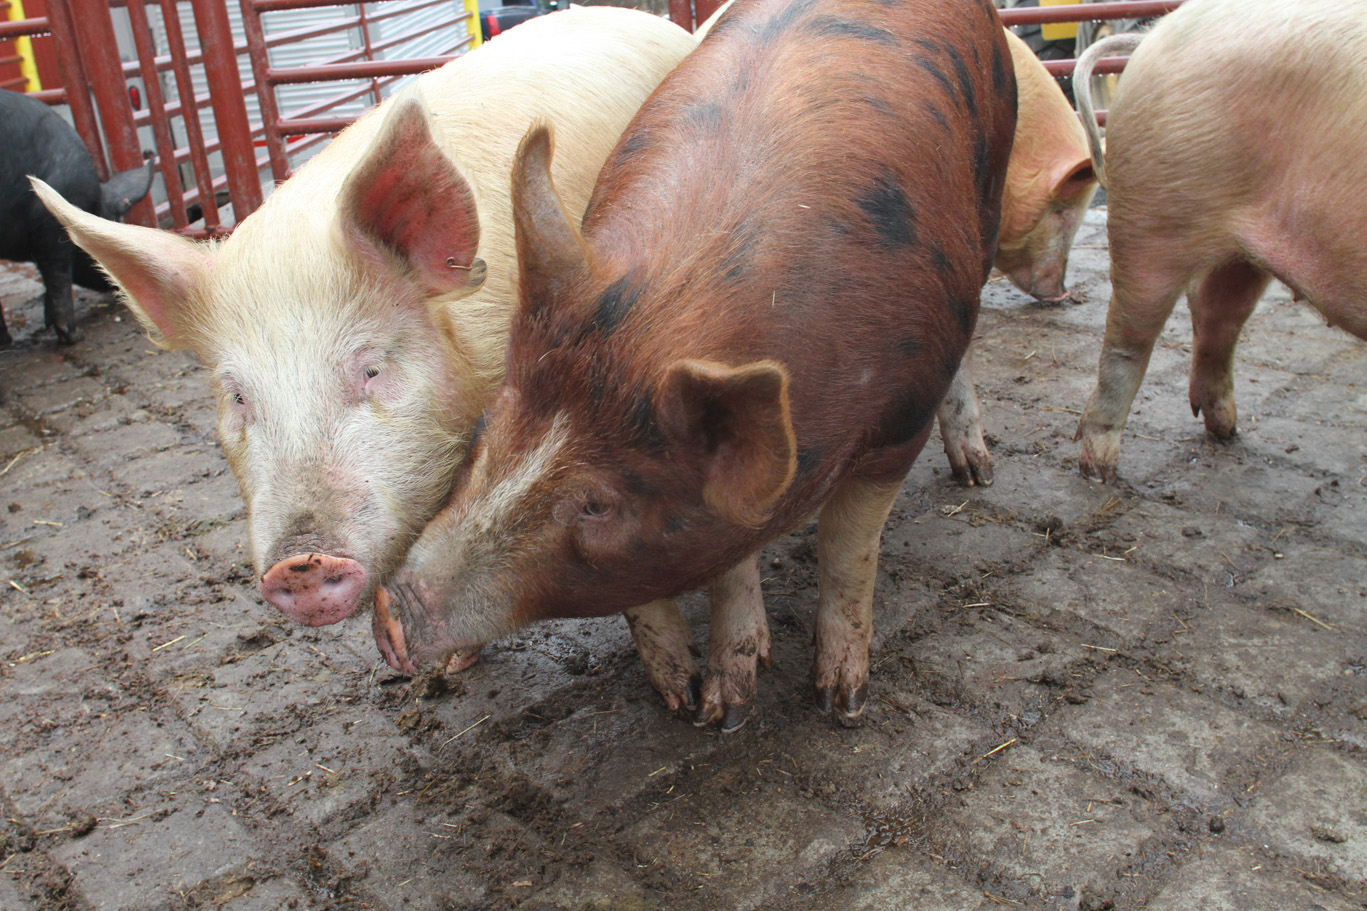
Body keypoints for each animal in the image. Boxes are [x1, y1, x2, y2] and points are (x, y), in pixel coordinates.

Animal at [372, 0, 1016, 729]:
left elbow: (847, 551)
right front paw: (717, 707)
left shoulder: (898, 425)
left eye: (597, 503)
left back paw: (976, 474)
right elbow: (726, 564)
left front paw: (839, 701)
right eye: (484, 434)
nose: (390, 612)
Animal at [1071, 0, 1367, 482]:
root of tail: (1154, 33)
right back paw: (1099, 470)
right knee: (1127, 340)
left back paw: (1227, 431)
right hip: (1153, 210)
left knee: (1216, 313)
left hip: (1245, 248)